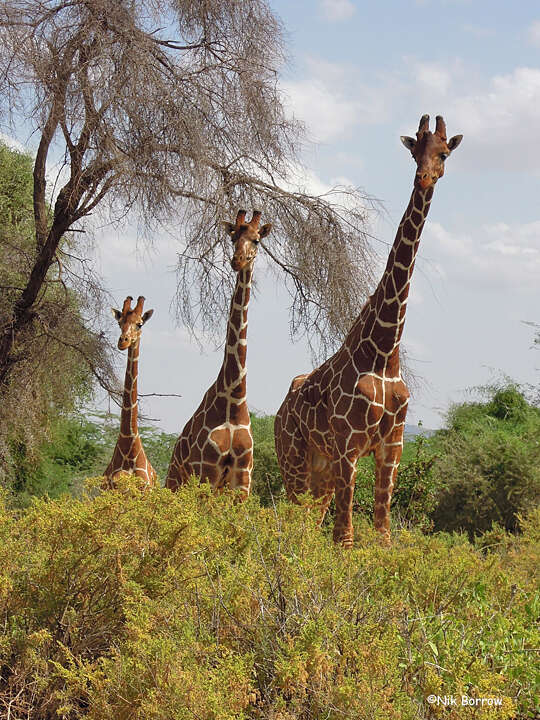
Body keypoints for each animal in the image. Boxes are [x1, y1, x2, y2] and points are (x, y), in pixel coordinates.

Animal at [165, 211, 272, 498]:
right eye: (233, 237)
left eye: (256, 240)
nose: (238, 261)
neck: (234, 398)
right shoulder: (208, 471)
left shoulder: (243, 475)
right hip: (176, 481)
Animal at [276, 115, 462, 548]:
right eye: (415, 150)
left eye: (444, 153)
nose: (424, 178)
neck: (382, 351)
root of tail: (278, 411)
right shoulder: (349, 445)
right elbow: (344, 539)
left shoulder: (391, 446)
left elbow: (382, 533)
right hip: (294, 458)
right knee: (293, 520)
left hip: (321, 467)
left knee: (311, 519)